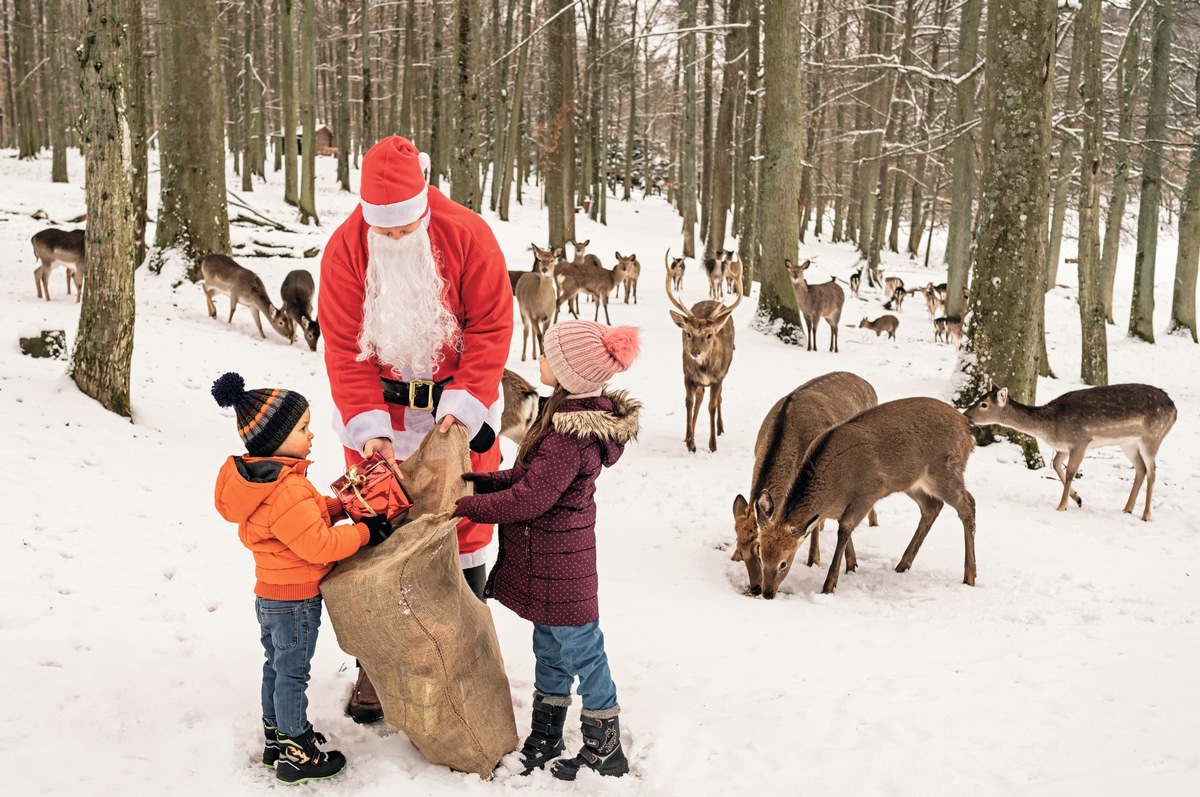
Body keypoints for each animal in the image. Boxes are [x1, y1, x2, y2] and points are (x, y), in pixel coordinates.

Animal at [667, 260, 739, 448]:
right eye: (688, 333)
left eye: (709, 335)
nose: (695, 352)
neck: (705, 370)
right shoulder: (688, 375)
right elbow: (689, 403)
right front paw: (690, 442)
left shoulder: (718, 378)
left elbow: (712, 406)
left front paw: (712, 445)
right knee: (699, 398)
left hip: (724, 372)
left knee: (719, 398)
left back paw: (720, 428)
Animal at [758, 396, 974, 595]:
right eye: (761, 556)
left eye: (783, 563)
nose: (766, 592)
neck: (833, 490)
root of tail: (967, 427)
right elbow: (844, 530)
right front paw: (851, 566)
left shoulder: (867, 494)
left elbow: (844, 529)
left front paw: (829, 585)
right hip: (911, 482)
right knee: (932, 506)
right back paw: (903, 564)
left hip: (945, 470)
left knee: (968, 503)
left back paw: (970, 576)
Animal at [960, 381, 1176, 520]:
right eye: (979, 398)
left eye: (984, 404)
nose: (965, 414)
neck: (1052, 427)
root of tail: (1175, 410)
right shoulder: (1064, 446)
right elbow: (1056, 464)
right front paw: (1078, 498)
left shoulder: (1081, 440)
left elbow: (1071, 471)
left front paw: (1062, 506)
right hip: (1128, 443)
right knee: (1140, 469)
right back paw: (1127, 509)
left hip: (1152, 436)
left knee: (1152, 471)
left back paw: (1146, 515)